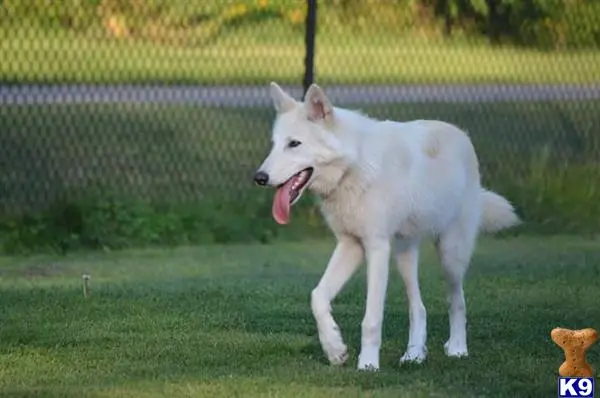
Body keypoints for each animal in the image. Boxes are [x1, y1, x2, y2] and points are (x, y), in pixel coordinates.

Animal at [253, 82, 520, 372]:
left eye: (294, 144)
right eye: (274, 145)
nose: (259, 177)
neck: (354, 167)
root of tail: (462, 135)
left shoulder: (377, 248)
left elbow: (371, 319)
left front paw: (368, 364)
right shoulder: (350, 244)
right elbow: (317, 297)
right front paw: (335, 349)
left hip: (450, 256)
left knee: (456, 301)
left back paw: (458, 348)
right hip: (404, 256)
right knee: (418, 308)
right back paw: (414, 355)